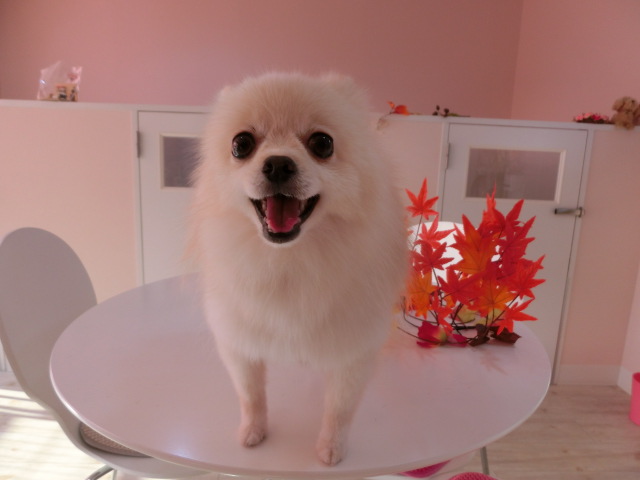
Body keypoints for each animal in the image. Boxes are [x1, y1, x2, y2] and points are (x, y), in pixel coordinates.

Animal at [188, 72, 407, 465]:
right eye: (241, 144)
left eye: (322, 143)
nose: (278, 164)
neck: (289, 259)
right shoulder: (238, 342)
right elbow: (251, 394)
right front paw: (254, 431)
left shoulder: (355, 350)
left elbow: (340, 407)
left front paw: (332, 447)